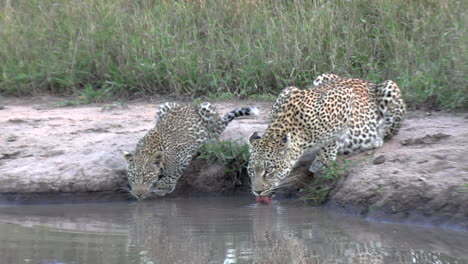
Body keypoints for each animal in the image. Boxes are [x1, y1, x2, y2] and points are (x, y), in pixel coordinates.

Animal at [122, 101, 258, 200]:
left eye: (146, 178)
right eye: (132, 178)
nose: (138, 194)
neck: (148, 149)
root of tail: (190, 104)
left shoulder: (185, 154)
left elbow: (173, 172)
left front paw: (163, 187)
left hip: (207, 110)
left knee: (215, 132)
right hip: (164, 105)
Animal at [249, 73, 406, 197]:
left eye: (269, 170)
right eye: (251, 171)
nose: (257, 191)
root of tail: (369, 82)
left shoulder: (344, 97)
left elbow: (332, 137)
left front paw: (322, 160)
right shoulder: (288, 90)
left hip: (390, 87)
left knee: (389, 132)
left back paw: (375, 140)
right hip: (323, 76)